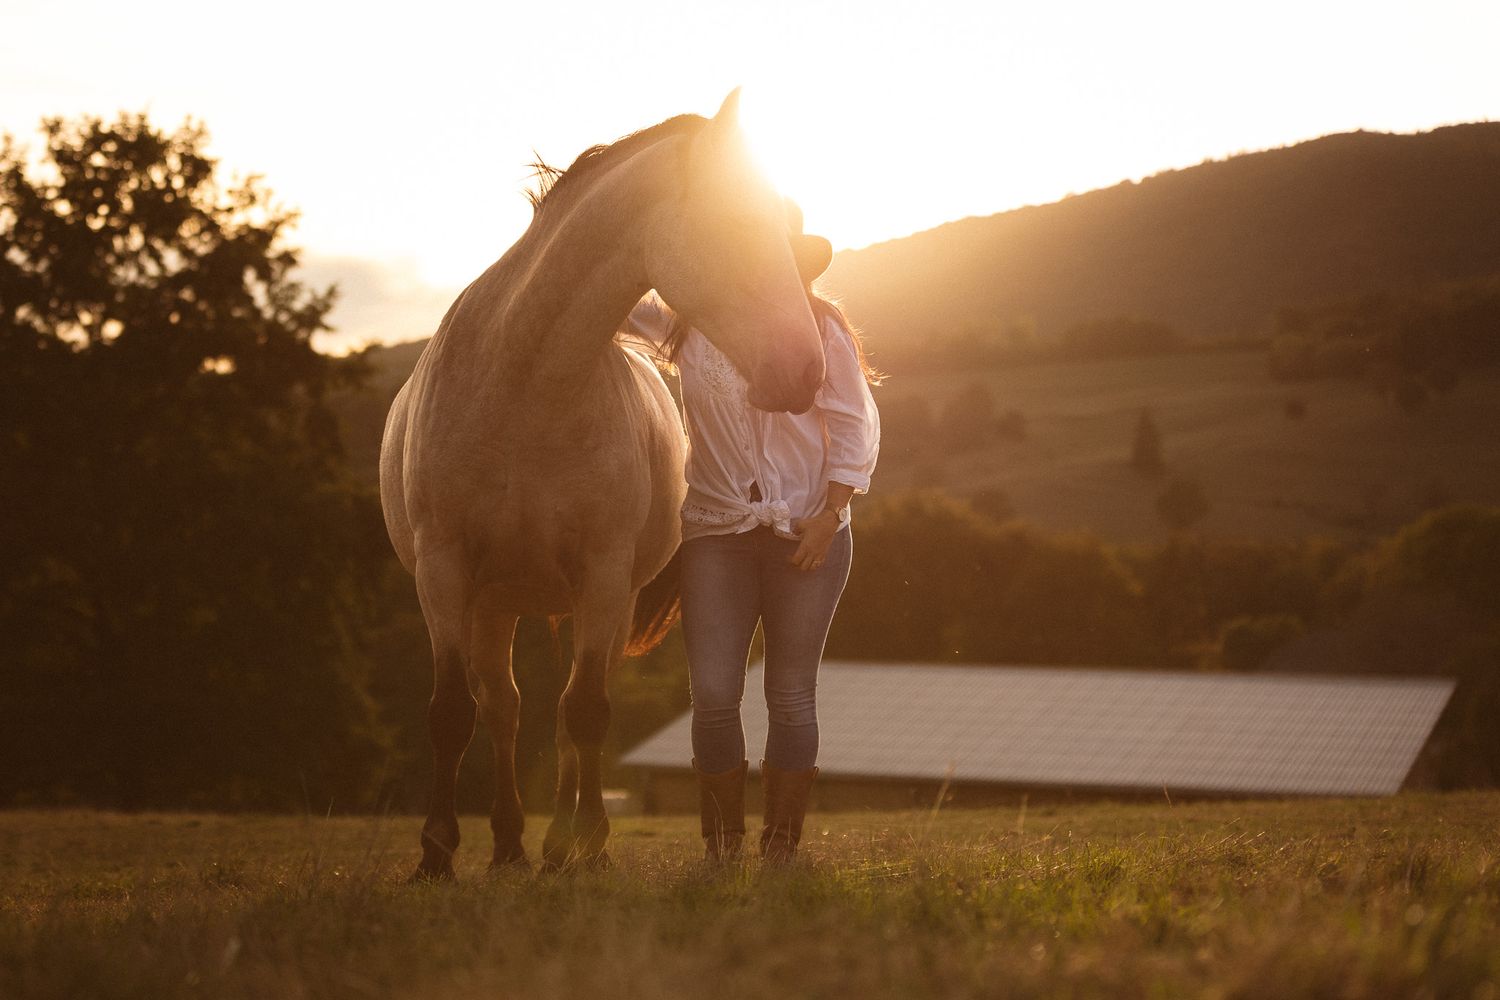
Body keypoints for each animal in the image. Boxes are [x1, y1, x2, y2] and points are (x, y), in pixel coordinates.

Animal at [379, 91, 826, 878]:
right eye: (742, 223)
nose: (807, 369)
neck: (523, 385)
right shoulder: (442, 571)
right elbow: (451, 712)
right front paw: (435, 853)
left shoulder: (604, 575)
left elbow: (585, 712)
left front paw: (583, 842)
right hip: (493, 603)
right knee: (503, 708)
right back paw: (507, 846)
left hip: (594, 608)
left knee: (562, 714)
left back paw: (561, 844)